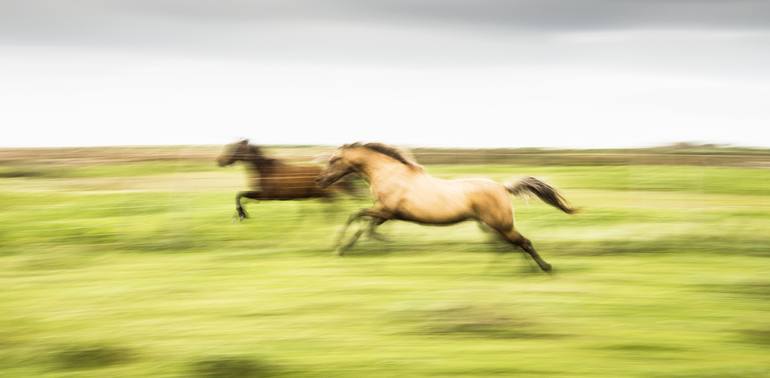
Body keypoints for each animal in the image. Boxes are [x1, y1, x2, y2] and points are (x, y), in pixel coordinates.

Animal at [216, 140, 354, 220]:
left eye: (233, 148)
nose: (220, 161)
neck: (264, 170)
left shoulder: (264, 195)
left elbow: (239, 195)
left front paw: (241, 214)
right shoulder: (258, 196)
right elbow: (242, 198)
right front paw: (241, 214)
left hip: (325, 195)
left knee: (335, 206)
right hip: (322, 196)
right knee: (333, 207)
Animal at [314, 142, 576, 272]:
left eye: (334, 159)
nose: (320, 181)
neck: (390, 174)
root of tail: (503, 187)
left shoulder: (385, 210)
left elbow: (356, 217)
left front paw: (341, 246)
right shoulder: (385, 213)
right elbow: (363, 224)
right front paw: (351, 245)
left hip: (500, 223)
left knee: (523, 242)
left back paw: (544, 267)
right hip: (491, 225)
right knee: (509, 245)